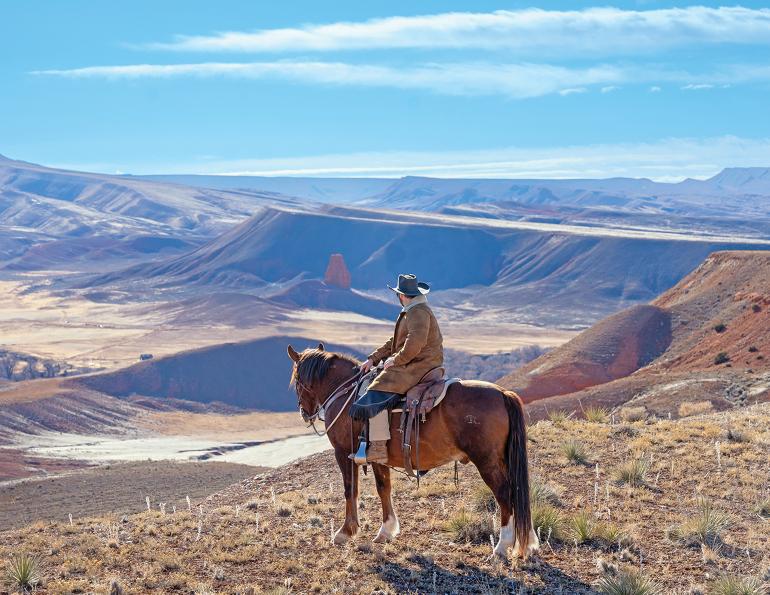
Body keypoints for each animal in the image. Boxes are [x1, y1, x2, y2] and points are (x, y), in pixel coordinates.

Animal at [284, 342, 536, 560]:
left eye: (296, 380)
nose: (305, 413)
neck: (347, 395)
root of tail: (503, 393)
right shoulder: (378, 458)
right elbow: (383, 489)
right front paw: (386, 530)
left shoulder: (343, 453)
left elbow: (350, 490)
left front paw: (345, 532)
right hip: (503, 460)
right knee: (518, 493)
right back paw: (527, 541)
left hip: (487, 461)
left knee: (504, 494)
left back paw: (502, 546)